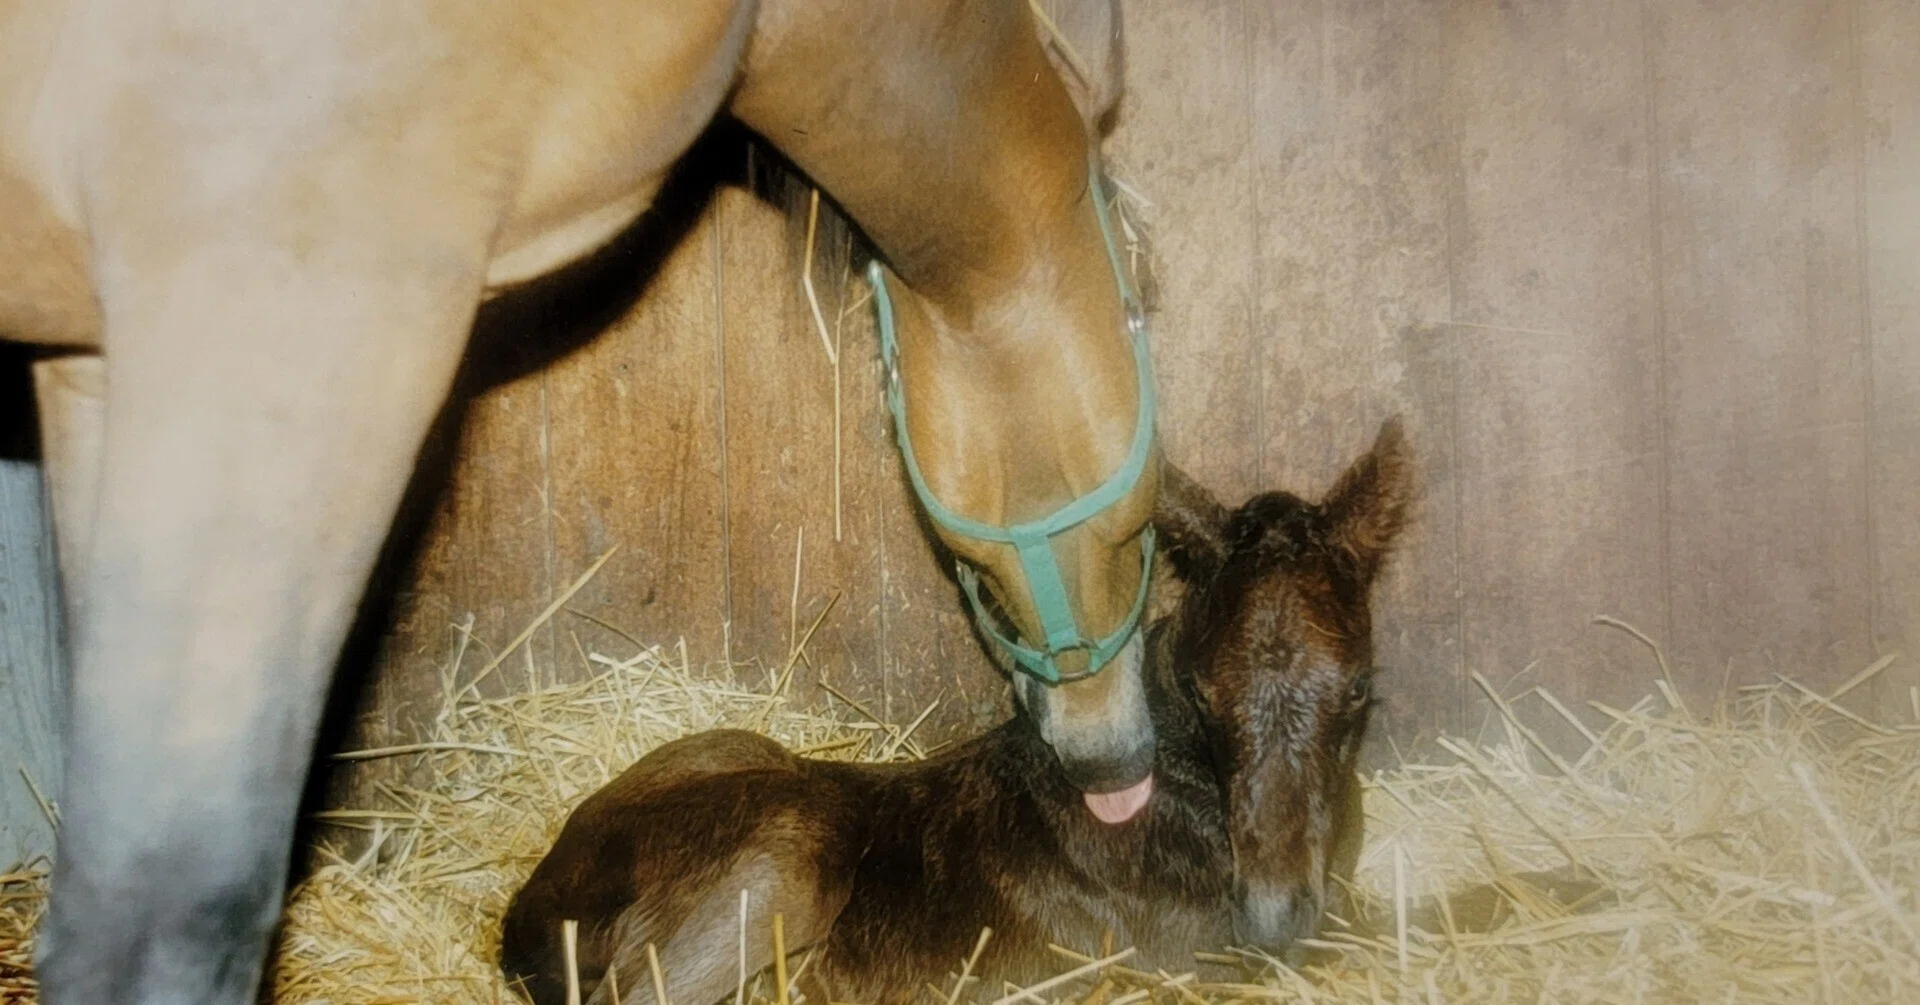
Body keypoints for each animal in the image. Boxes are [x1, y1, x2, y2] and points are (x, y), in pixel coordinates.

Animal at [498, 420, 1415, 1005]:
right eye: (1201, 690)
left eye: (1359, 685)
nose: (1271, 914)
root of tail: (527, 911)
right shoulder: (1197, 959)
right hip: (792, 850)